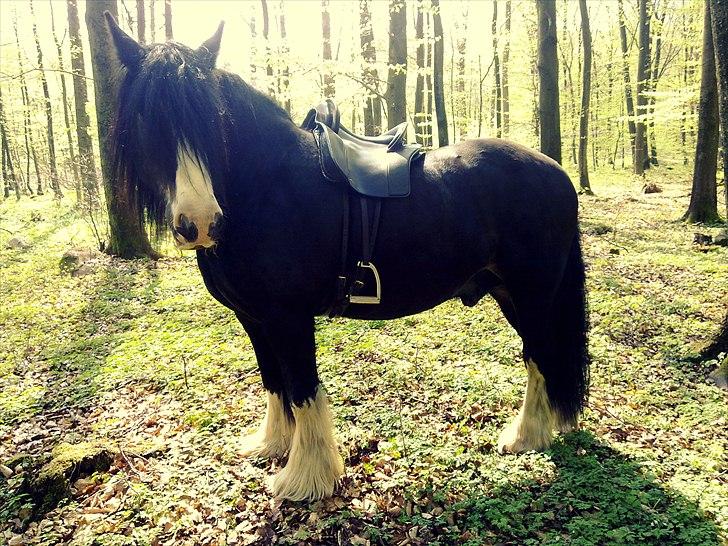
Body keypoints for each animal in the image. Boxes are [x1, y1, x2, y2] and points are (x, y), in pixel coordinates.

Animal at [105, 17, 588, 502]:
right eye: (148, 117)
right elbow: (274, 381)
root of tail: (557, 173)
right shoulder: (254, 318)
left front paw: (304, 478)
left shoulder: (288, 318)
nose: (200, 222)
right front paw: (271, 444)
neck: (264, 185)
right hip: (509, 294)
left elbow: (302, 389)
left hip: (533, 294)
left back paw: (524, 437)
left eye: (212, 120)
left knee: (538, 354)